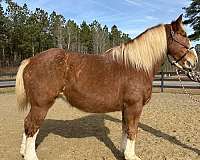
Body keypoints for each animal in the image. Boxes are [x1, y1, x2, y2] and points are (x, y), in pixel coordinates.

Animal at [16, 14, 198, 159]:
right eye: (183, 35)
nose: (193, 61)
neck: (137, 66)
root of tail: (31, 60)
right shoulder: (134, 106)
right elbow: (133, 130)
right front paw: (131, 156)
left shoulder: (126, 107)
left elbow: (125, 129)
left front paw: (123, 153)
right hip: (41, 105)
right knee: (32, 126)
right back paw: (31, 156)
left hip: (37, 105)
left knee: (27, 124)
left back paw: (24, 152)